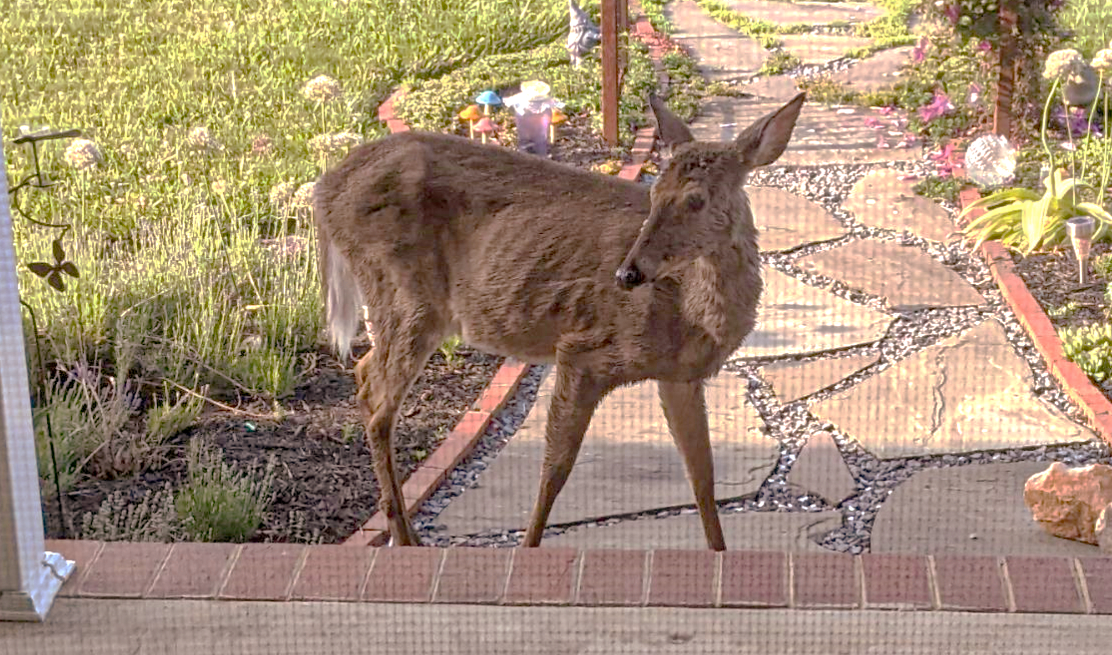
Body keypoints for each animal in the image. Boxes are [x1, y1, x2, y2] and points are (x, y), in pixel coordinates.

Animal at [313, 91, 806, 550]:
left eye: (697, 199)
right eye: (653, 194)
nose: (628, 274)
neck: (689, 313)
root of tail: (322, 190)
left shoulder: (679, 377)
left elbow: (702, 475)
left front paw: (719, 553)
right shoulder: (583, 350)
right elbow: (556, 468)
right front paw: (528, 548)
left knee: (364, 373)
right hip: (405, 293)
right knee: (379, 400)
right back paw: (406, 537)